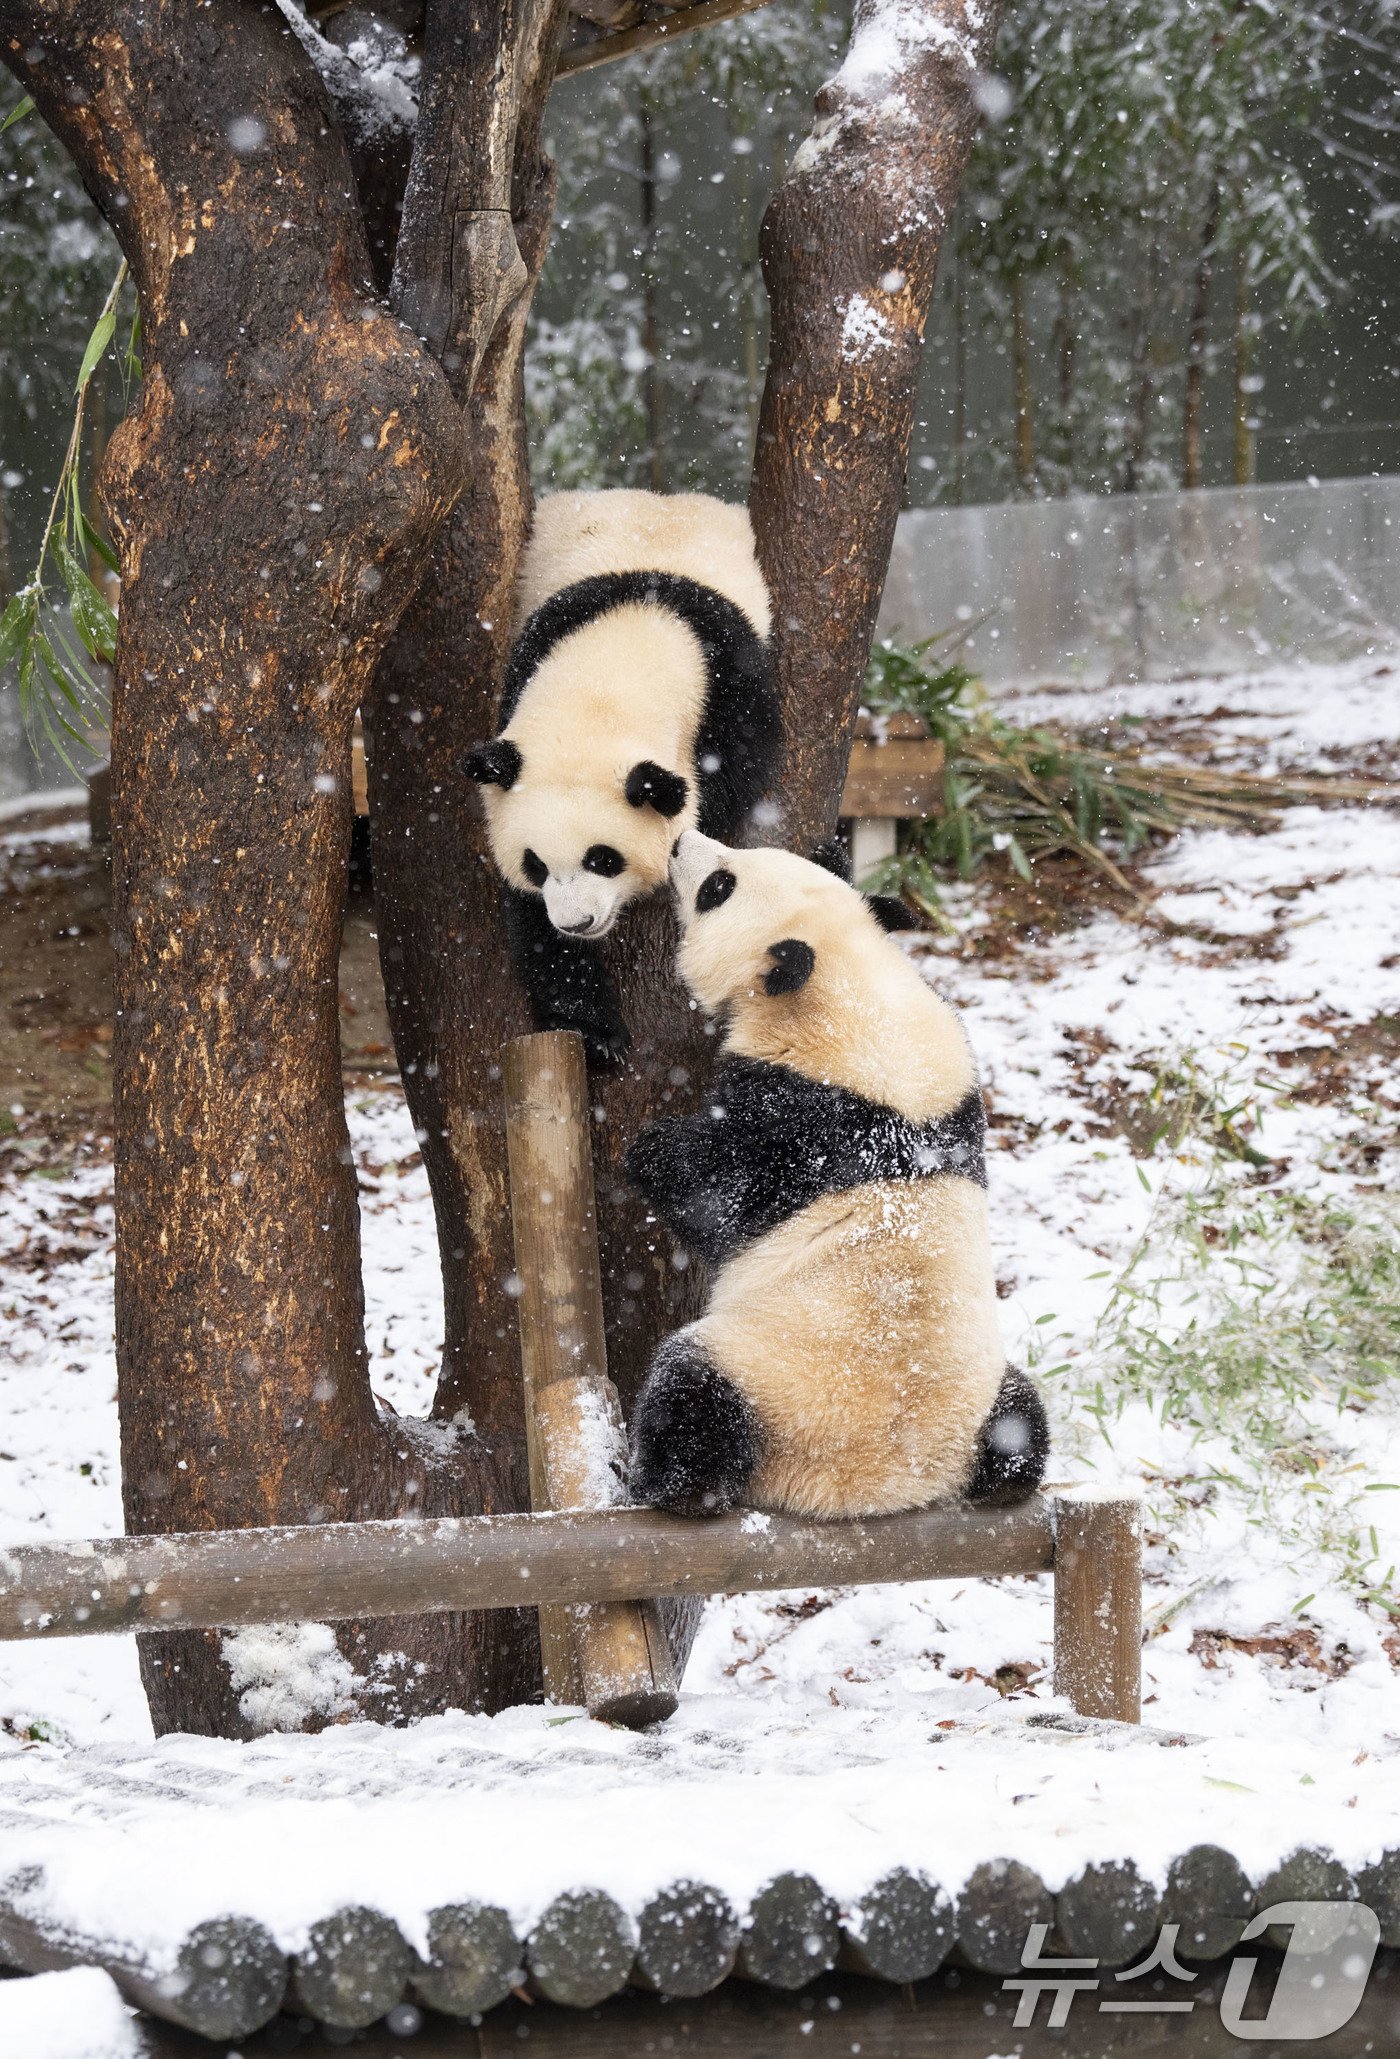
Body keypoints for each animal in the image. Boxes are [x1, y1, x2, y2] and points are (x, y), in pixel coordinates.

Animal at [465, 483, 782, 1062]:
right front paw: (594, 1034)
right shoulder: (533, 659)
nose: (578, 922)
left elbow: (733, 771)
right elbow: (532, 920)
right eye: (536, 865)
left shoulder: (732, 677)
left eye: (603, 859)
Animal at [625, 827, 1050, 1523]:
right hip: (984, 1395)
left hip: (768, 1378)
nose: (682, 841)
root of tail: (867, 1492)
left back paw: (667, 1485)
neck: (850, 982)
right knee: (1023, 1421)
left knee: (693, 1394)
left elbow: (718, 1191)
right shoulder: (956, 1089)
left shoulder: (802, 1124)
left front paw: (650, 1148)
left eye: (719, 886)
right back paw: (1010, 1479)